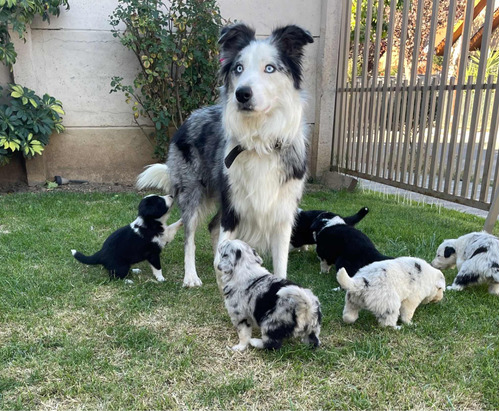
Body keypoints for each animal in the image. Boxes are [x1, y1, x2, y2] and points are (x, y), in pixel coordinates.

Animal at [138, 22, 312, 286]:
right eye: (239, 68)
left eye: (270, 68)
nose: (242, 94)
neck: (259, 140)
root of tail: (189, 117)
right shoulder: (233, 208)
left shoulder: (282, 213)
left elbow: (280, 264)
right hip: (192, 191)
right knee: (190, 234)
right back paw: (191, 276)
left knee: (212, 227)